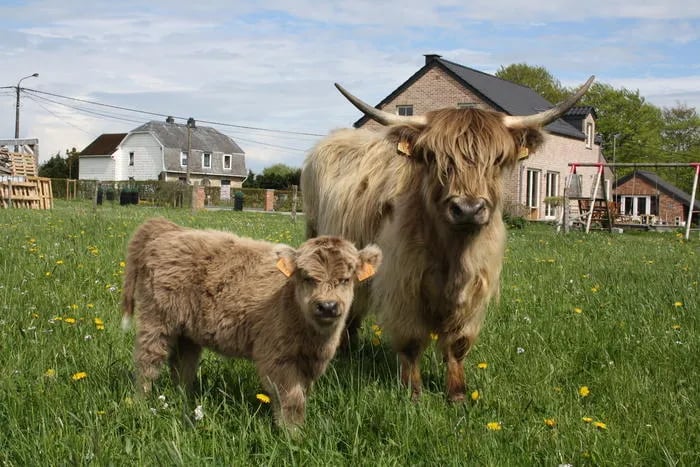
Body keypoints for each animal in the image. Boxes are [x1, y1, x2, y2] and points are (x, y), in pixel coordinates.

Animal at [121, 217, 382, 428]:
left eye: (346, 279)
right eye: (307, 277)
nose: (327, 306)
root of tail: (171, 229)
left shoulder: (310, 362)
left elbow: (301, 396)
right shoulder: (276, 358)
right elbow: (291, 399)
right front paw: (292, 436)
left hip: (187, 331)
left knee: (182, 364)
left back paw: (183, 399)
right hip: (156, 320)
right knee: (148, 362)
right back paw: (142, 405)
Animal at [301, 77, 594, 402]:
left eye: (497, 160)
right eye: (435, 158)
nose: (468, 209)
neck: (453, 256)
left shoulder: (474, 288)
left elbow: (458, 344)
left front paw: (457, 395)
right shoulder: (402, 285)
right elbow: (411, 342)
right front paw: (413, 393)